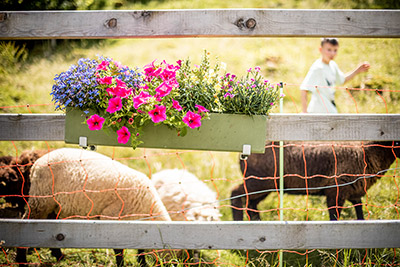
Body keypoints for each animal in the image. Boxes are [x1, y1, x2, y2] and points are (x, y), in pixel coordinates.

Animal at [16, 149, 170, 267]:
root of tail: (36, 164)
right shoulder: (112, 216)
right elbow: (119, 249)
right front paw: (122, 263)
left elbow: (141, 249)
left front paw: (142, 262)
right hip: (41, 198)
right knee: (26, 222)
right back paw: (21, 259)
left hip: (53, 203)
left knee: (51, 225)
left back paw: (58, 255)